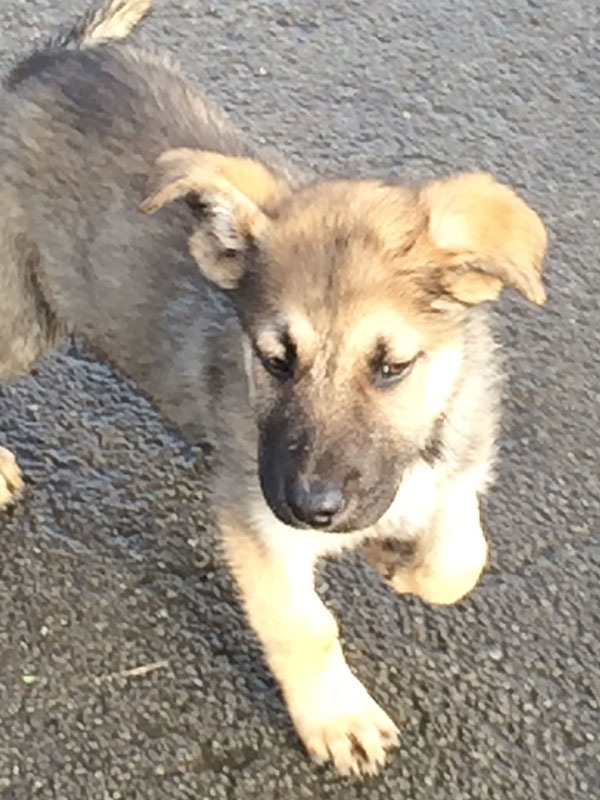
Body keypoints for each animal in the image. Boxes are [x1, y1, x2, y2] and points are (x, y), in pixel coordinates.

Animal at [0, 0, 548, 776]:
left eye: (392, 366)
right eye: (276, 359)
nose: (312, 508)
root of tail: (45, 64)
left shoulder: (456, 465)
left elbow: (460, 559)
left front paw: (397, 559)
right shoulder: (256, 523)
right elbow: (304, 626)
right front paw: (337, 716)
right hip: (23, 321)